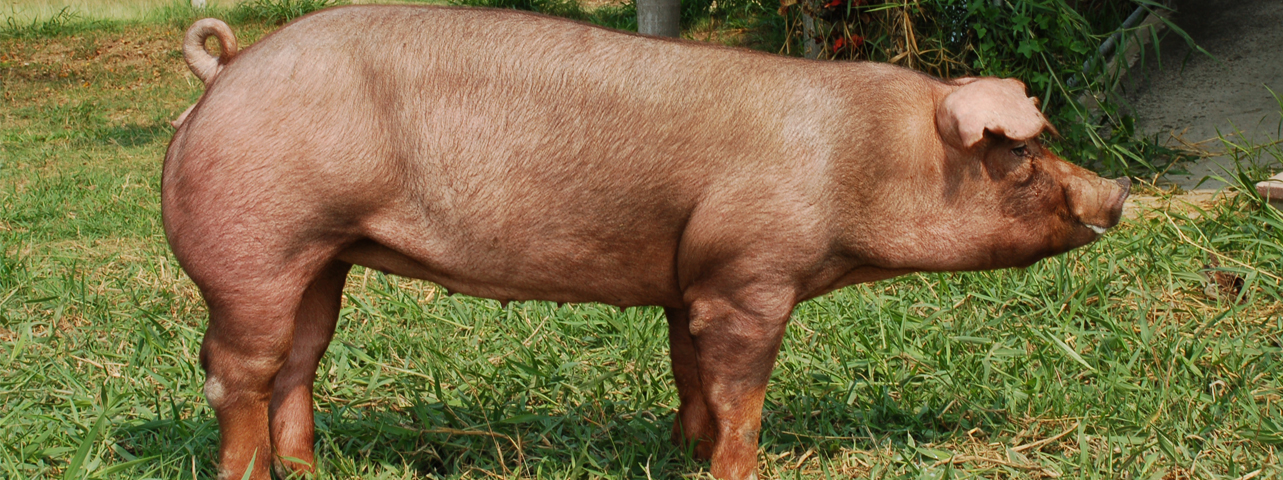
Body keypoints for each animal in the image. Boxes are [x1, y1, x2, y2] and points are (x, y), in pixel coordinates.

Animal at [163, 6, 1130, 480]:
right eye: (1020, 151)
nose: (1118, 192)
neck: (861, 158)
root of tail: (228, 69)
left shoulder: (691, 280)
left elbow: (689, 372)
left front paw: (683, 452)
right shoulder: (751, 276)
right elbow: (743, 391)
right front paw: (737, 470)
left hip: (323, 257)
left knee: (299, 359)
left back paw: (307, 468)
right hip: (254, 242)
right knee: (236, 370)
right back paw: (248, 474)